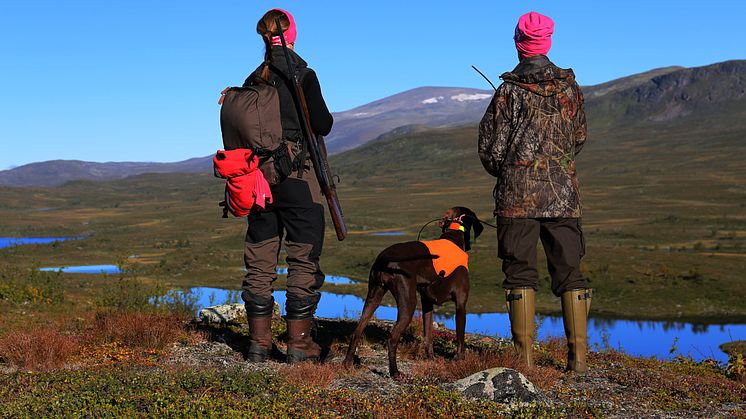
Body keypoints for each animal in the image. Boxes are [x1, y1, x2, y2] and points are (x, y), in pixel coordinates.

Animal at [342, 207, 482, 380]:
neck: (453, 235)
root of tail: (385, 257)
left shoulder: (427, 303)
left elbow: (428, 335)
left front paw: (431, 358)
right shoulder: (461, 305)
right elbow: (460, 338)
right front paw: (460, 359)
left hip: (373, 297)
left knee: (357, 331)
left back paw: (347, 364)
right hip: (408, 303)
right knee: (392, 339)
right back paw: (395, 372)